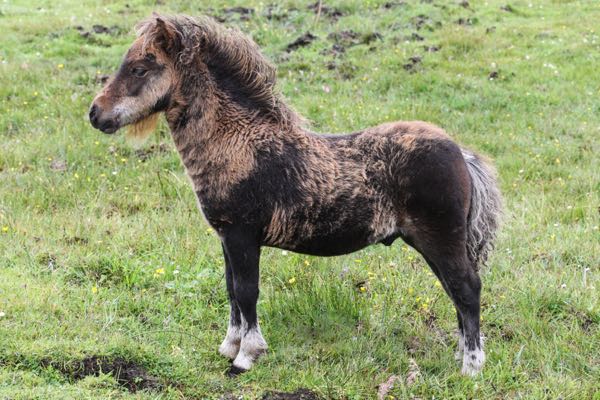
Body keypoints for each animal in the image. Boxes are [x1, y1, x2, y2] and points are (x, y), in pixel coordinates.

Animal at [89, 14, 502, 376]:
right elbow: (231, 291)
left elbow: (247, 291)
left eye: (140, 68)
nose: (95, 114)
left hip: (440, 239)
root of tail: (460, 153)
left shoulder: (242, 235)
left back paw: (471, 367)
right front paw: (229, 346)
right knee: (456, 291)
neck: (238, 142)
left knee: (467, 289)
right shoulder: (225, 237)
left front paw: (245, 357)